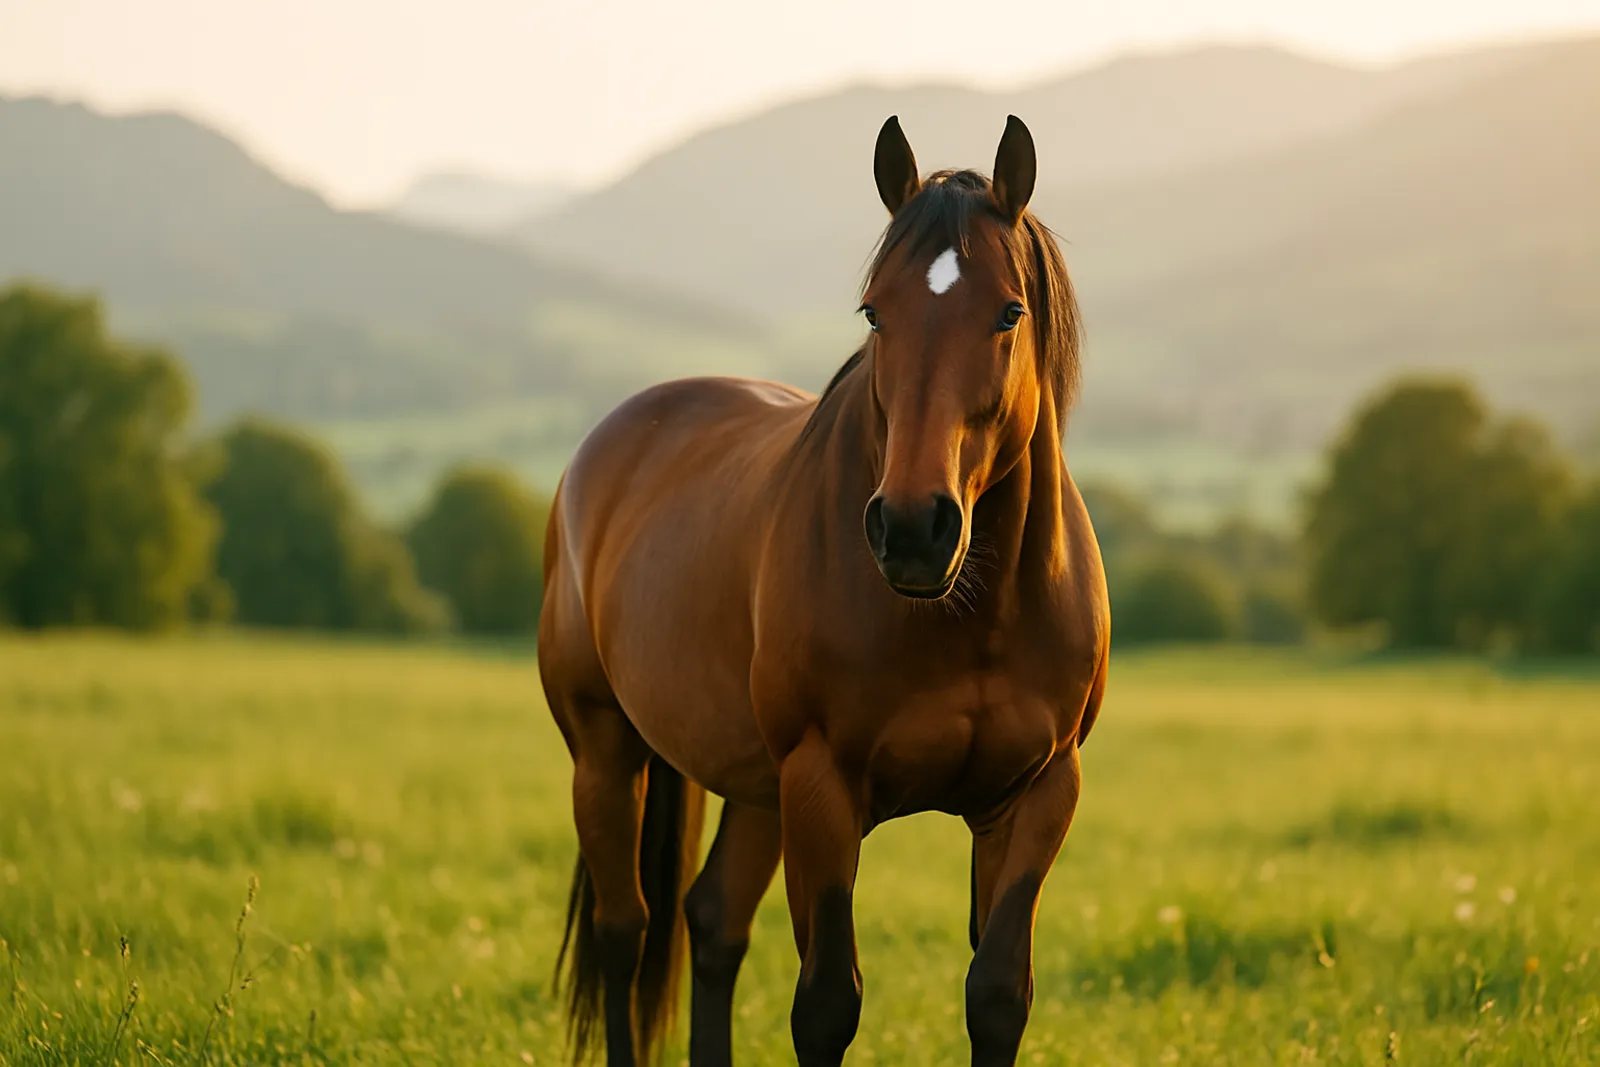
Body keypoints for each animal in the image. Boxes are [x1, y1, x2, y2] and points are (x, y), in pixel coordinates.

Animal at [538, 114, 1110, 1067]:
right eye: (876, 309)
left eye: (1010, 311)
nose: (914, 528)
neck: (969, 614)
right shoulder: (822, 787)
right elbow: (827, 1005)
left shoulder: (1037, 794)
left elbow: (997, 993)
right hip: (606, 750)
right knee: (626, 931)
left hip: (751, 784)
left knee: (711, 921)